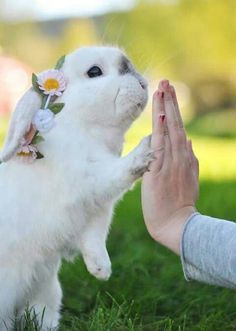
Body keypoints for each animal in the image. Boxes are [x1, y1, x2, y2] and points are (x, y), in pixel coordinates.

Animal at [0, 46, 153, 330]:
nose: (142, 82)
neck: (82, 127)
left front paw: (101, 270)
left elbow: (95, 238)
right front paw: (146, 149)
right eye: (94, 71)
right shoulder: (88, 179)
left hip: (47, 290)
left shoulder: (98, 211)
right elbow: (116, 172)